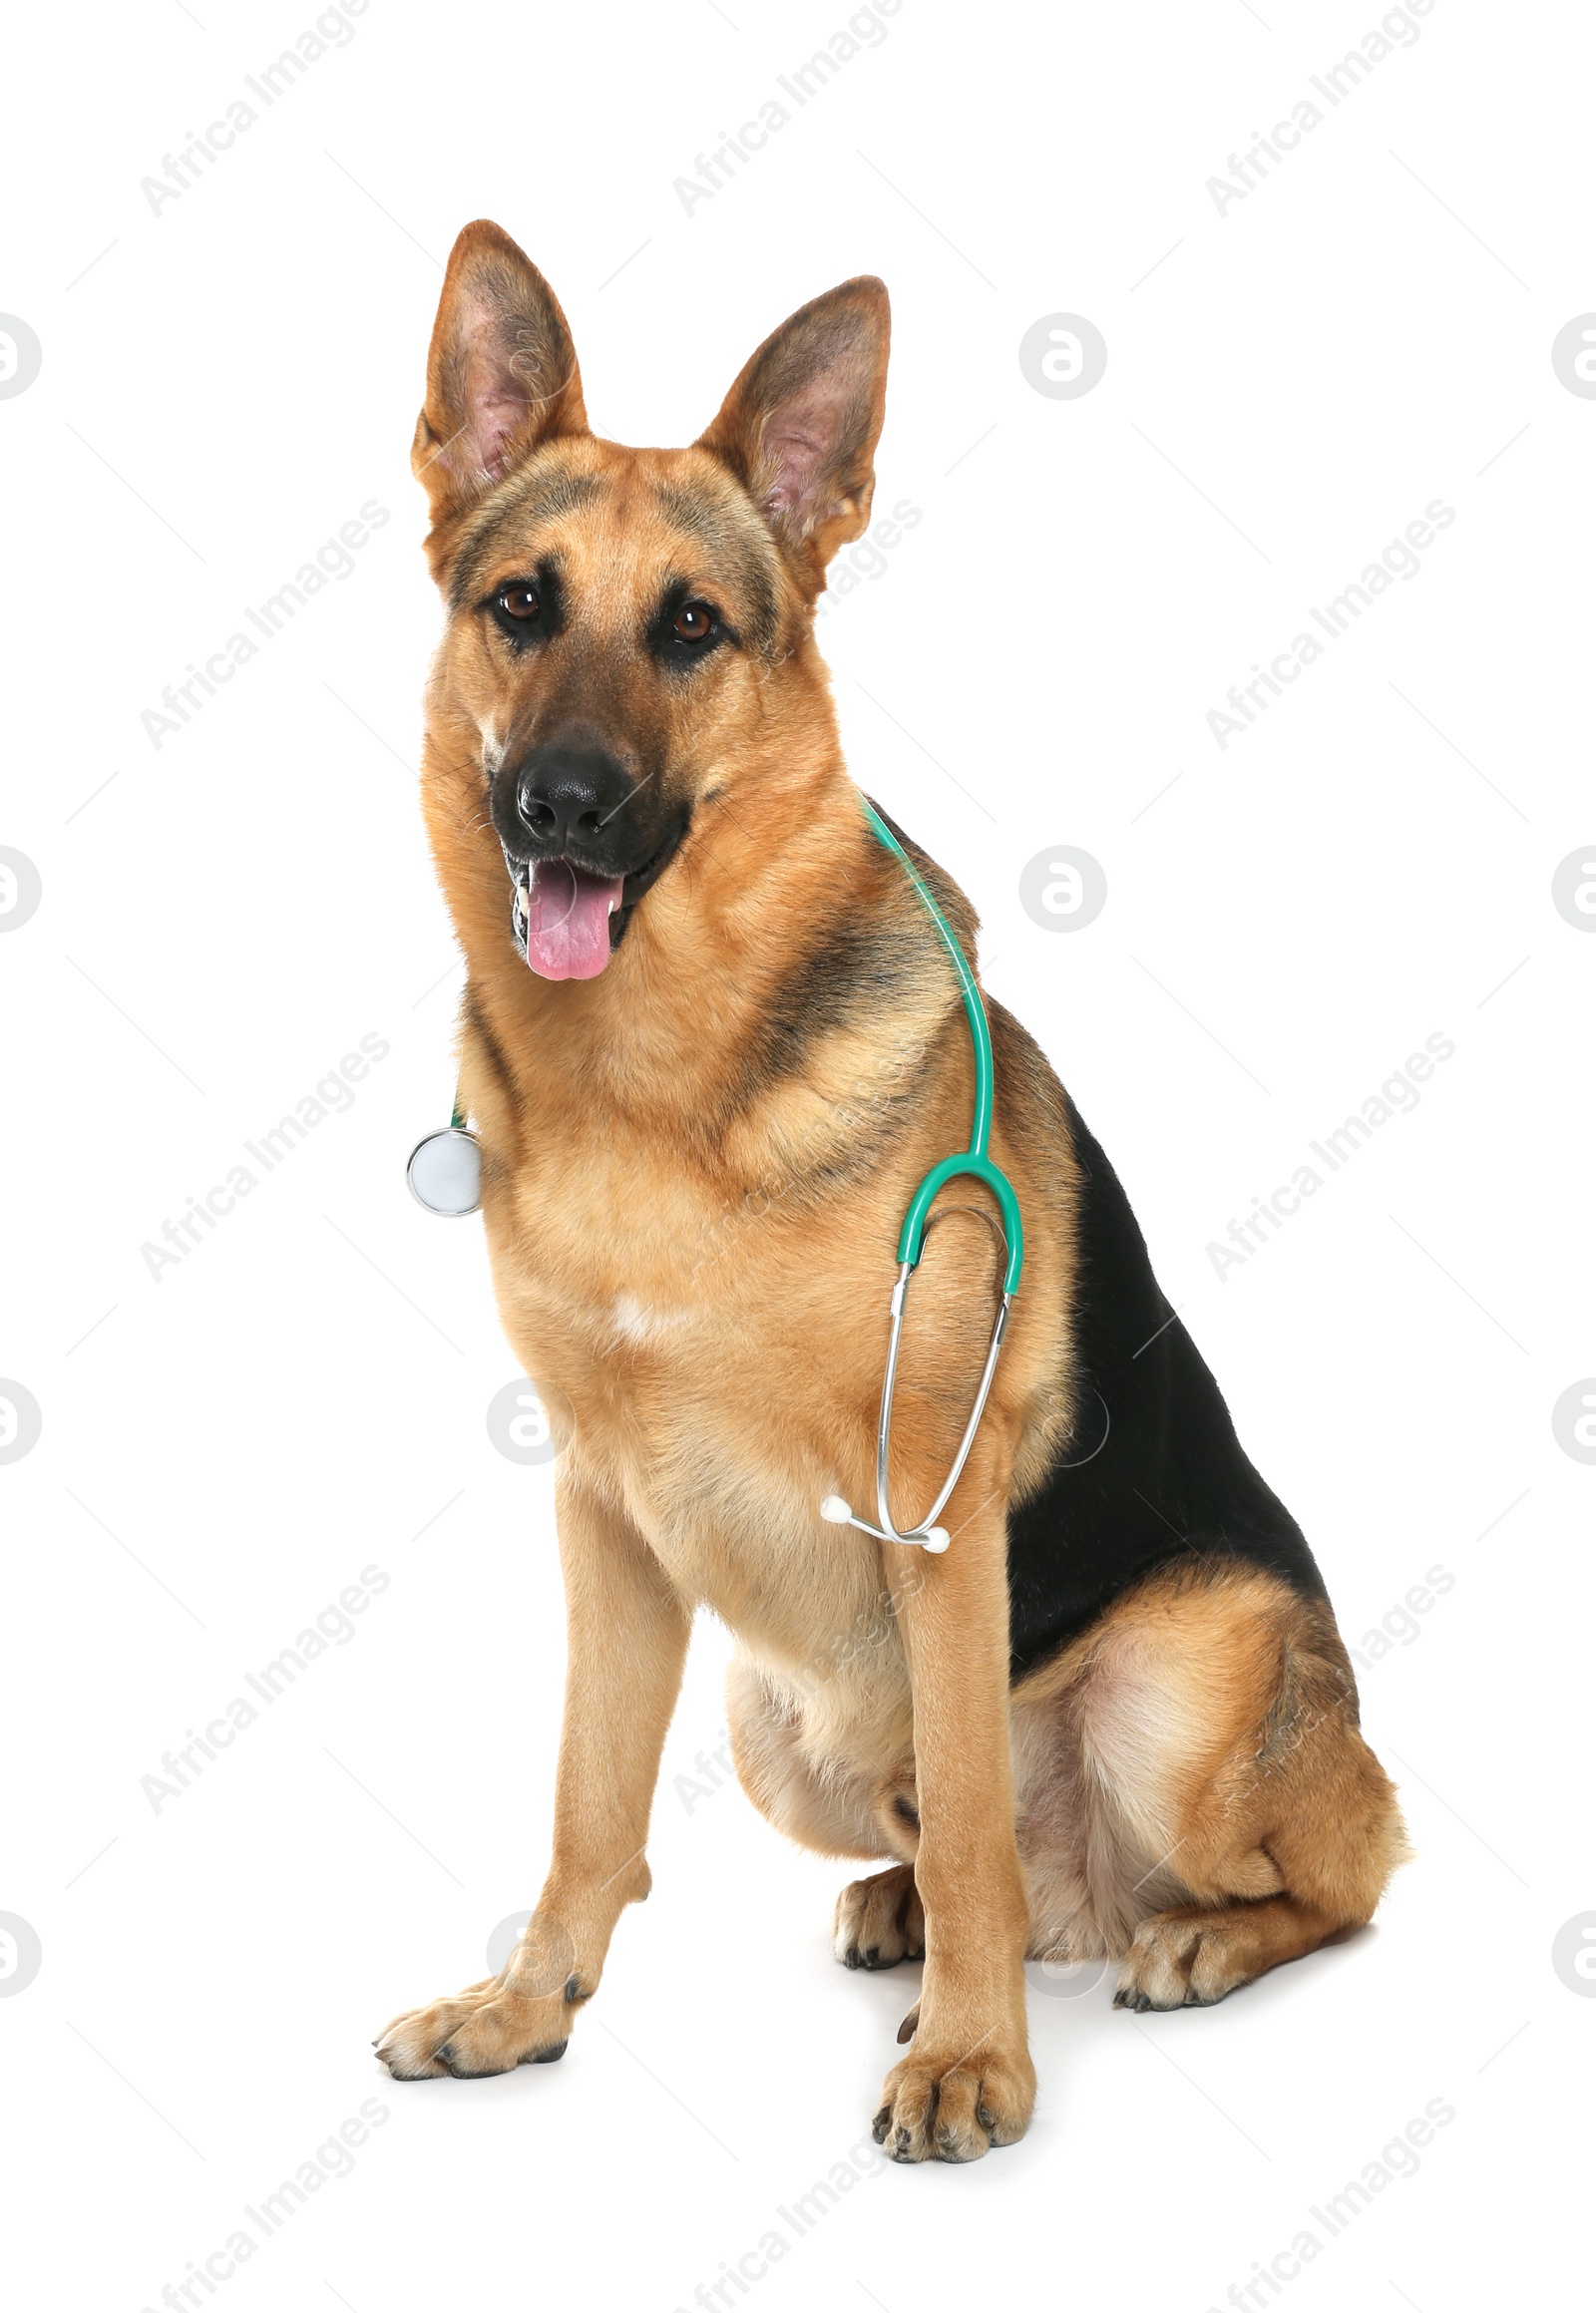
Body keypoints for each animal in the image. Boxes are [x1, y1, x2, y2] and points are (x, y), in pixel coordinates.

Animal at [381, 225, 1405, 2155]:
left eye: (689, 626)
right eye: (523, 605)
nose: (563, 806)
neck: (659, 1089)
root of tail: (1110, 1898)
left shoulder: (938, 1502)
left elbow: (981, 1829)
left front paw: (975, 2063)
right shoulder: (604, 1514)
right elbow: (585, 1807)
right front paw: (526, 2008)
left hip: (1177, 1687)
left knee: (1325, 1870)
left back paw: (1178, 1947)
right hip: (778, 1721)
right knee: (958, 1839)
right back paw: (908, 1914)